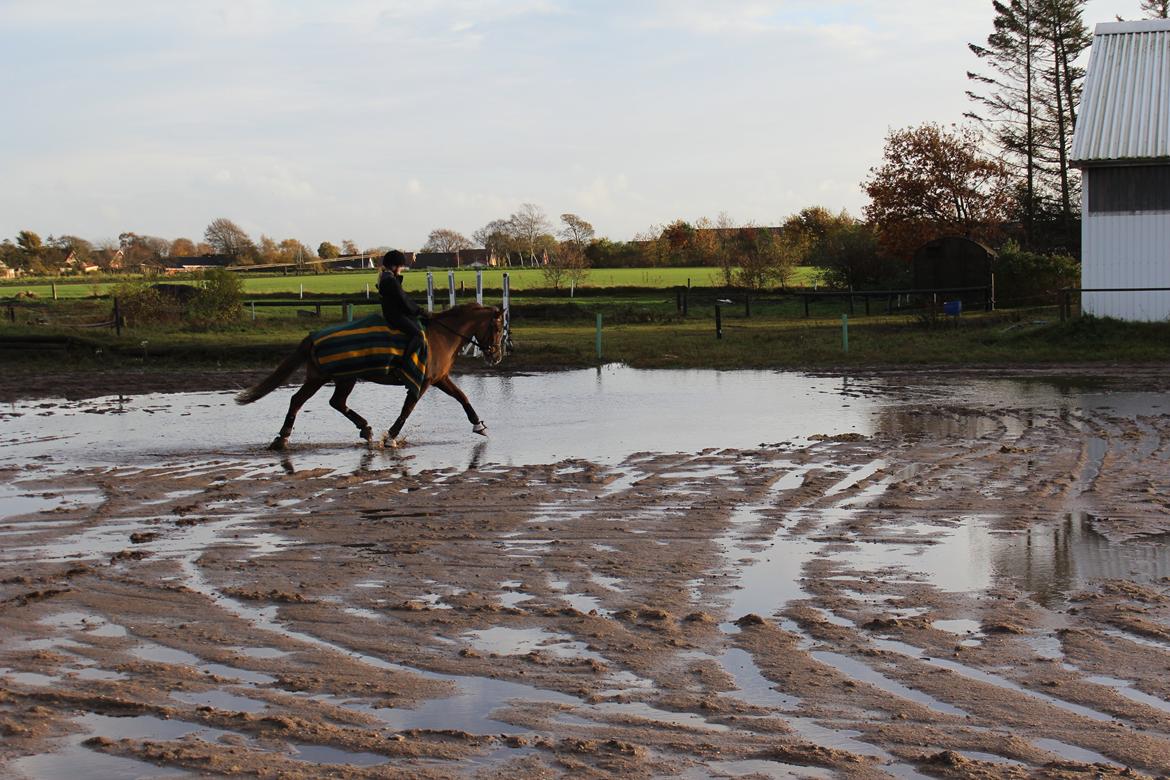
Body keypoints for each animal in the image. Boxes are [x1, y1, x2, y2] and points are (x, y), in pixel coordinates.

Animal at [238, 304, 507, 451]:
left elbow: (462, 397)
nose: (496, 357)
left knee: (325, 402)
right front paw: (390, 438)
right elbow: (407, 410)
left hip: (335, 378)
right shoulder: (422, 382)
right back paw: (284, 437)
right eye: (496, 328)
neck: (441, 336)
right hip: (331, 378)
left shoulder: (439, 378)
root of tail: (313, 335)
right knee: (307, 401)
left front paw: (479, 425)